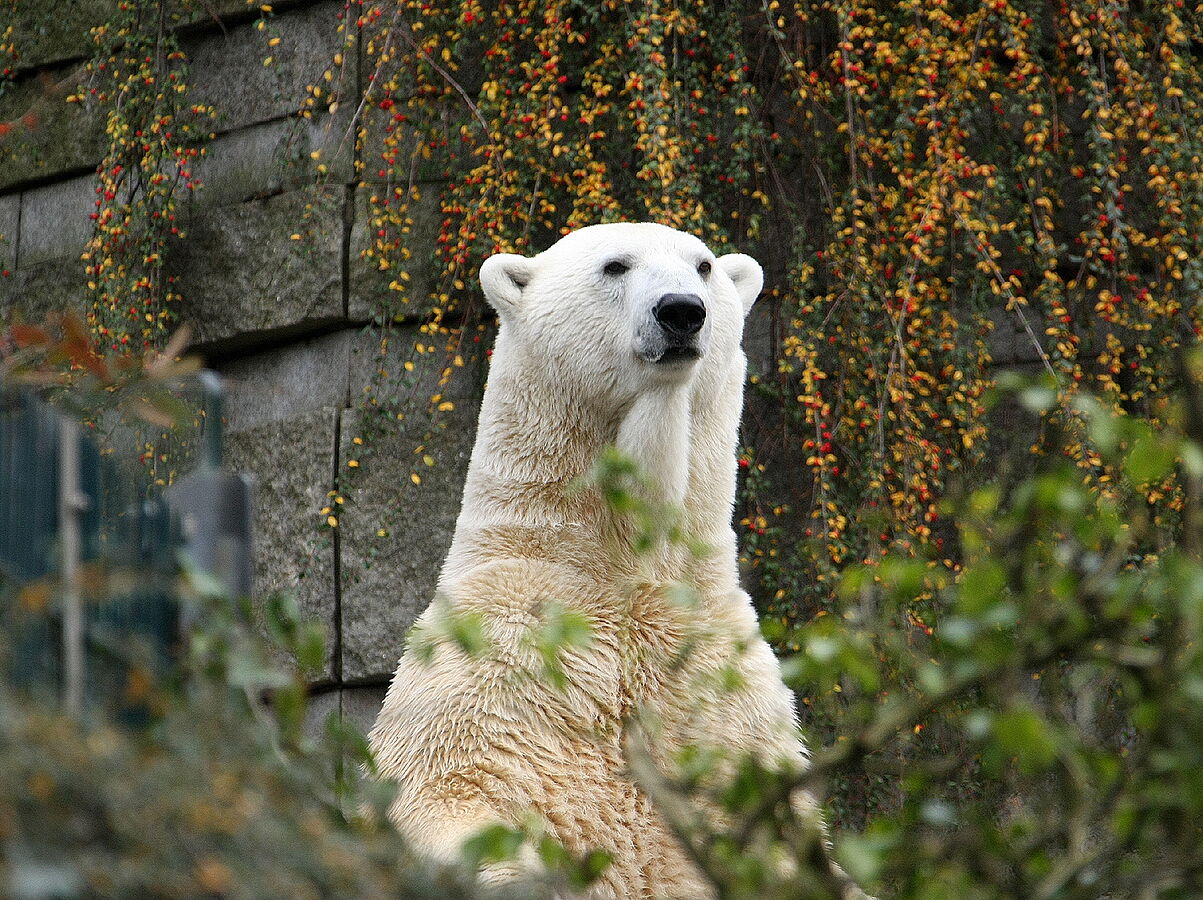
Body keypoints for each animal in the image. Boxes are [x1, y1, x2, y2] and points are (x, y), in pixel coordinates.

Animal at [375, 221, 837, 895]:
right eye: (615, 265)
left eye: (703, 266)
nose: (682, 311)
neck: (623, 570)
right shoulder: (498, 659)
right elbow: (452, 793)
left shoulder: (723, 698)